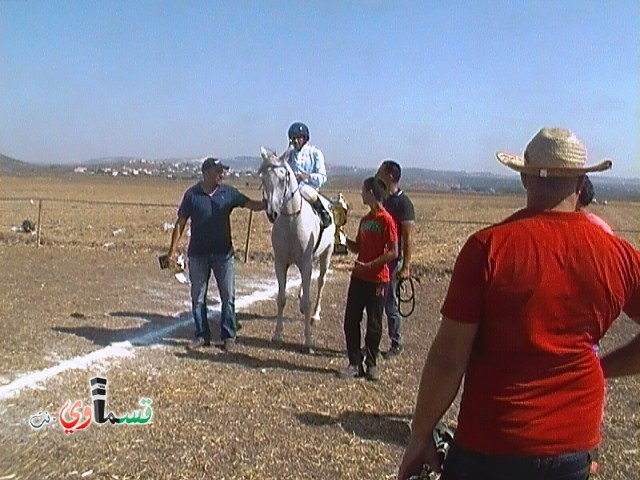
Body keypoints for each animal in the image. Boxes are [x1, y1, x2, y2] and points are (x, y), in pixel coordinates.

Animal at [258, 146, 336, 352]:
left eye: (283, 177)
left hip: (326, 254)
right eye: (263, 179)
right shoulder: (280, 263)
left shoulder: (306, 262)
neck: (292, 220)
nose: (272, 213)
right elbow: (281, 298)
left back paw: (315, 315)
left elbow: (308, 301)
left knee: (321, 282)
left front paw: (308, 341)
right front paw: (277, 335)